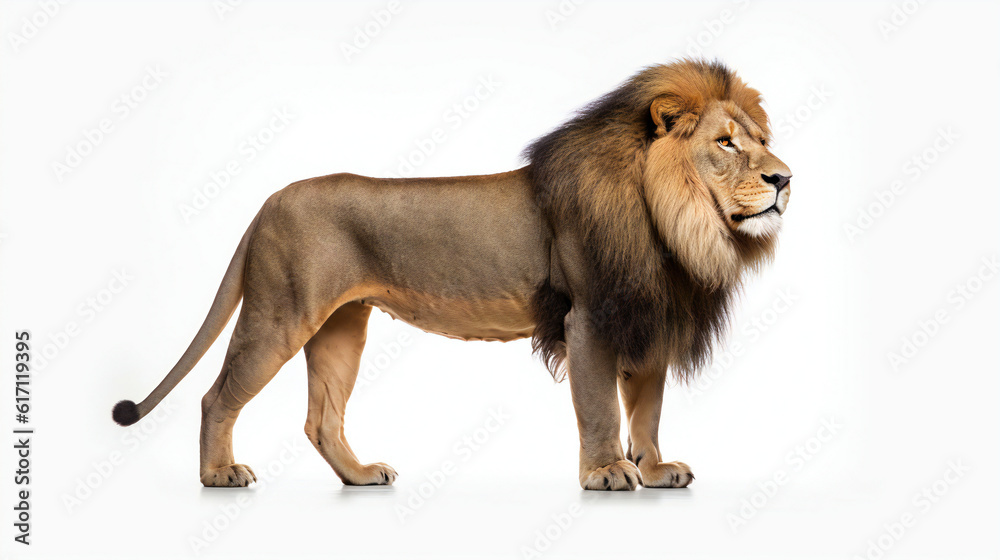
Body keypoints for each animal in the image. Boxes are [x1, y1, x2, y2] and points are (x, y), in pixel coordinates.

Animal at [112, 59, 791, 491]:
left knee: (320, 419)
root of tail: (270, 200)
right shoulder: (591, 317)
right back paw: (218, 475)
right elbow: (600, 406)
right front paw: (605, 473)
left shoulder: (647, 313)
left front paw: (652, 470)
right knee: (216, 396)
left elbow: (646, 410)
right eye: (726, 143)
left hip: (340, 326)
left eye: (761, 138)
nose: (785, 178)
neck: (674, 222)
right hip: (280, 312)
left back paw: (359, 476)